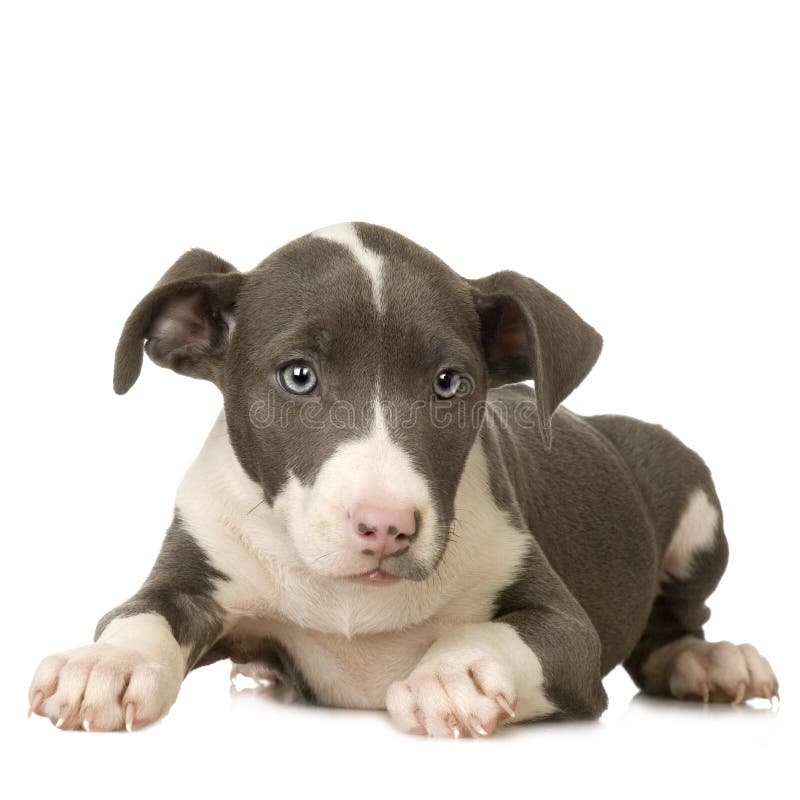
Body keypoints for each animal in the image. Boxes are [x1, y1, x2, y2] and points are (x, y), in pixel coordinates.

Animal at [28, 222, 780, 736]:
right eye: (297, 375)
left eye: (450, 383)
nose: (386, 527)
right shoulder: (194, 561)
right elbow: (140, 613)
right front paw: (103, 666)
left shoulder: (565, 629)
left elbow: (511, 634)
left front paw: (456, 672)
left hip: (692, 496)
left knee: (677, 624)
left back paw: (711, 662)